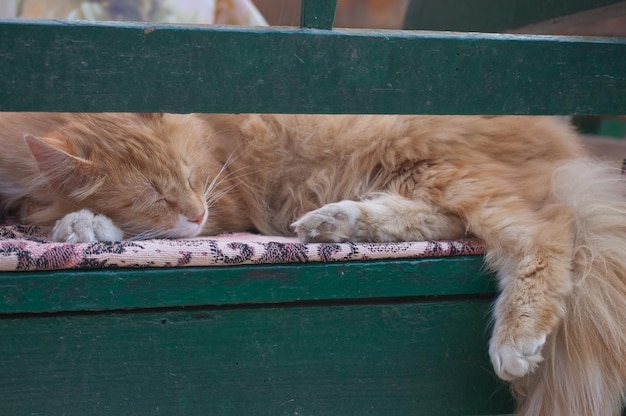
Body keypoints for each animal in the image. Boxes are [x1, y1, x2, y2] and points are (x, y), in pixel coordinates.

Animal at [1, 112, 624, 414]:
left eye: (192, 175)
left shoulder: (226, 198)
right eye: (153, 193)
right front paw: (77, 221)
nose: (196, 209)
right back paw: (335, 222)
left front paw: (81, 224)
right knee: (447, 222)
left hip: (434, 166)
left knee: (543, 227)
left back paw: (515, 339)